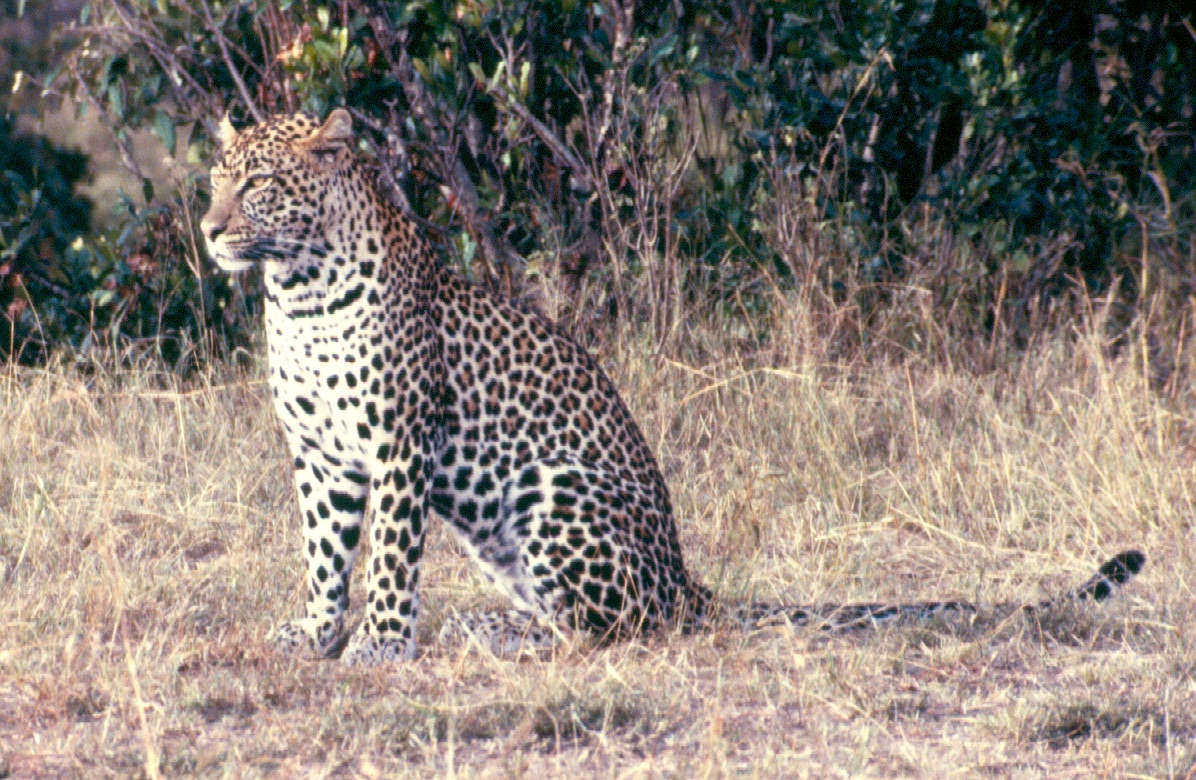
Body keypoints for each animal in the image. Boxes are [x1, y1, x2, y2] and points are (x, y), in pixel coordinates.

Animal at [200, 109, 1145, 664]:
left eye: (258, 184)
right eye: (215, 179)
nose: (208, 229)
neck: (300, 290)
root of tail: (687, 579)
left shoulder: (400, 442)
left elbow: (391, 553)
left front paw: (382, 643)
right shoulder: (318, 454)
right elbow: (324, 553)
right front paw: (316, 632)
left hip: (553, 488)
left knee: (608, 628)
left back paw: (487, 634)